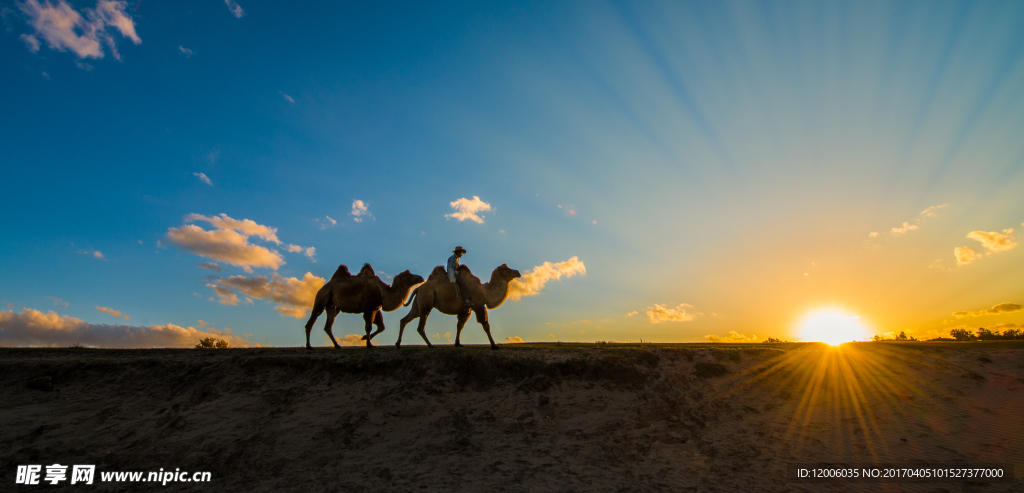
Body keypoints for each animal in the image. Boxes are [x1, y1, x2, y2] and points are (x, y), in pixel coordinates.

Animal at [391, 262, 520, 348]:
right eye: (508, 270)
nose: (518, 272)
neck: (486, 291)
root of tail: (418, 289)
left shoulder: (466, 310)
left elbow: (459, 326)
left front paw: (457, 343)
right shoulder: (478, 305)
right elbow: (485, 325)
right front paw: (494, 345)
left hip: (418, 304)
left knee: (405, 319)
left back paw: (398, 344)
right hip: (426, 300)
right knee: (420, 325)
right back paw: (431, 345)